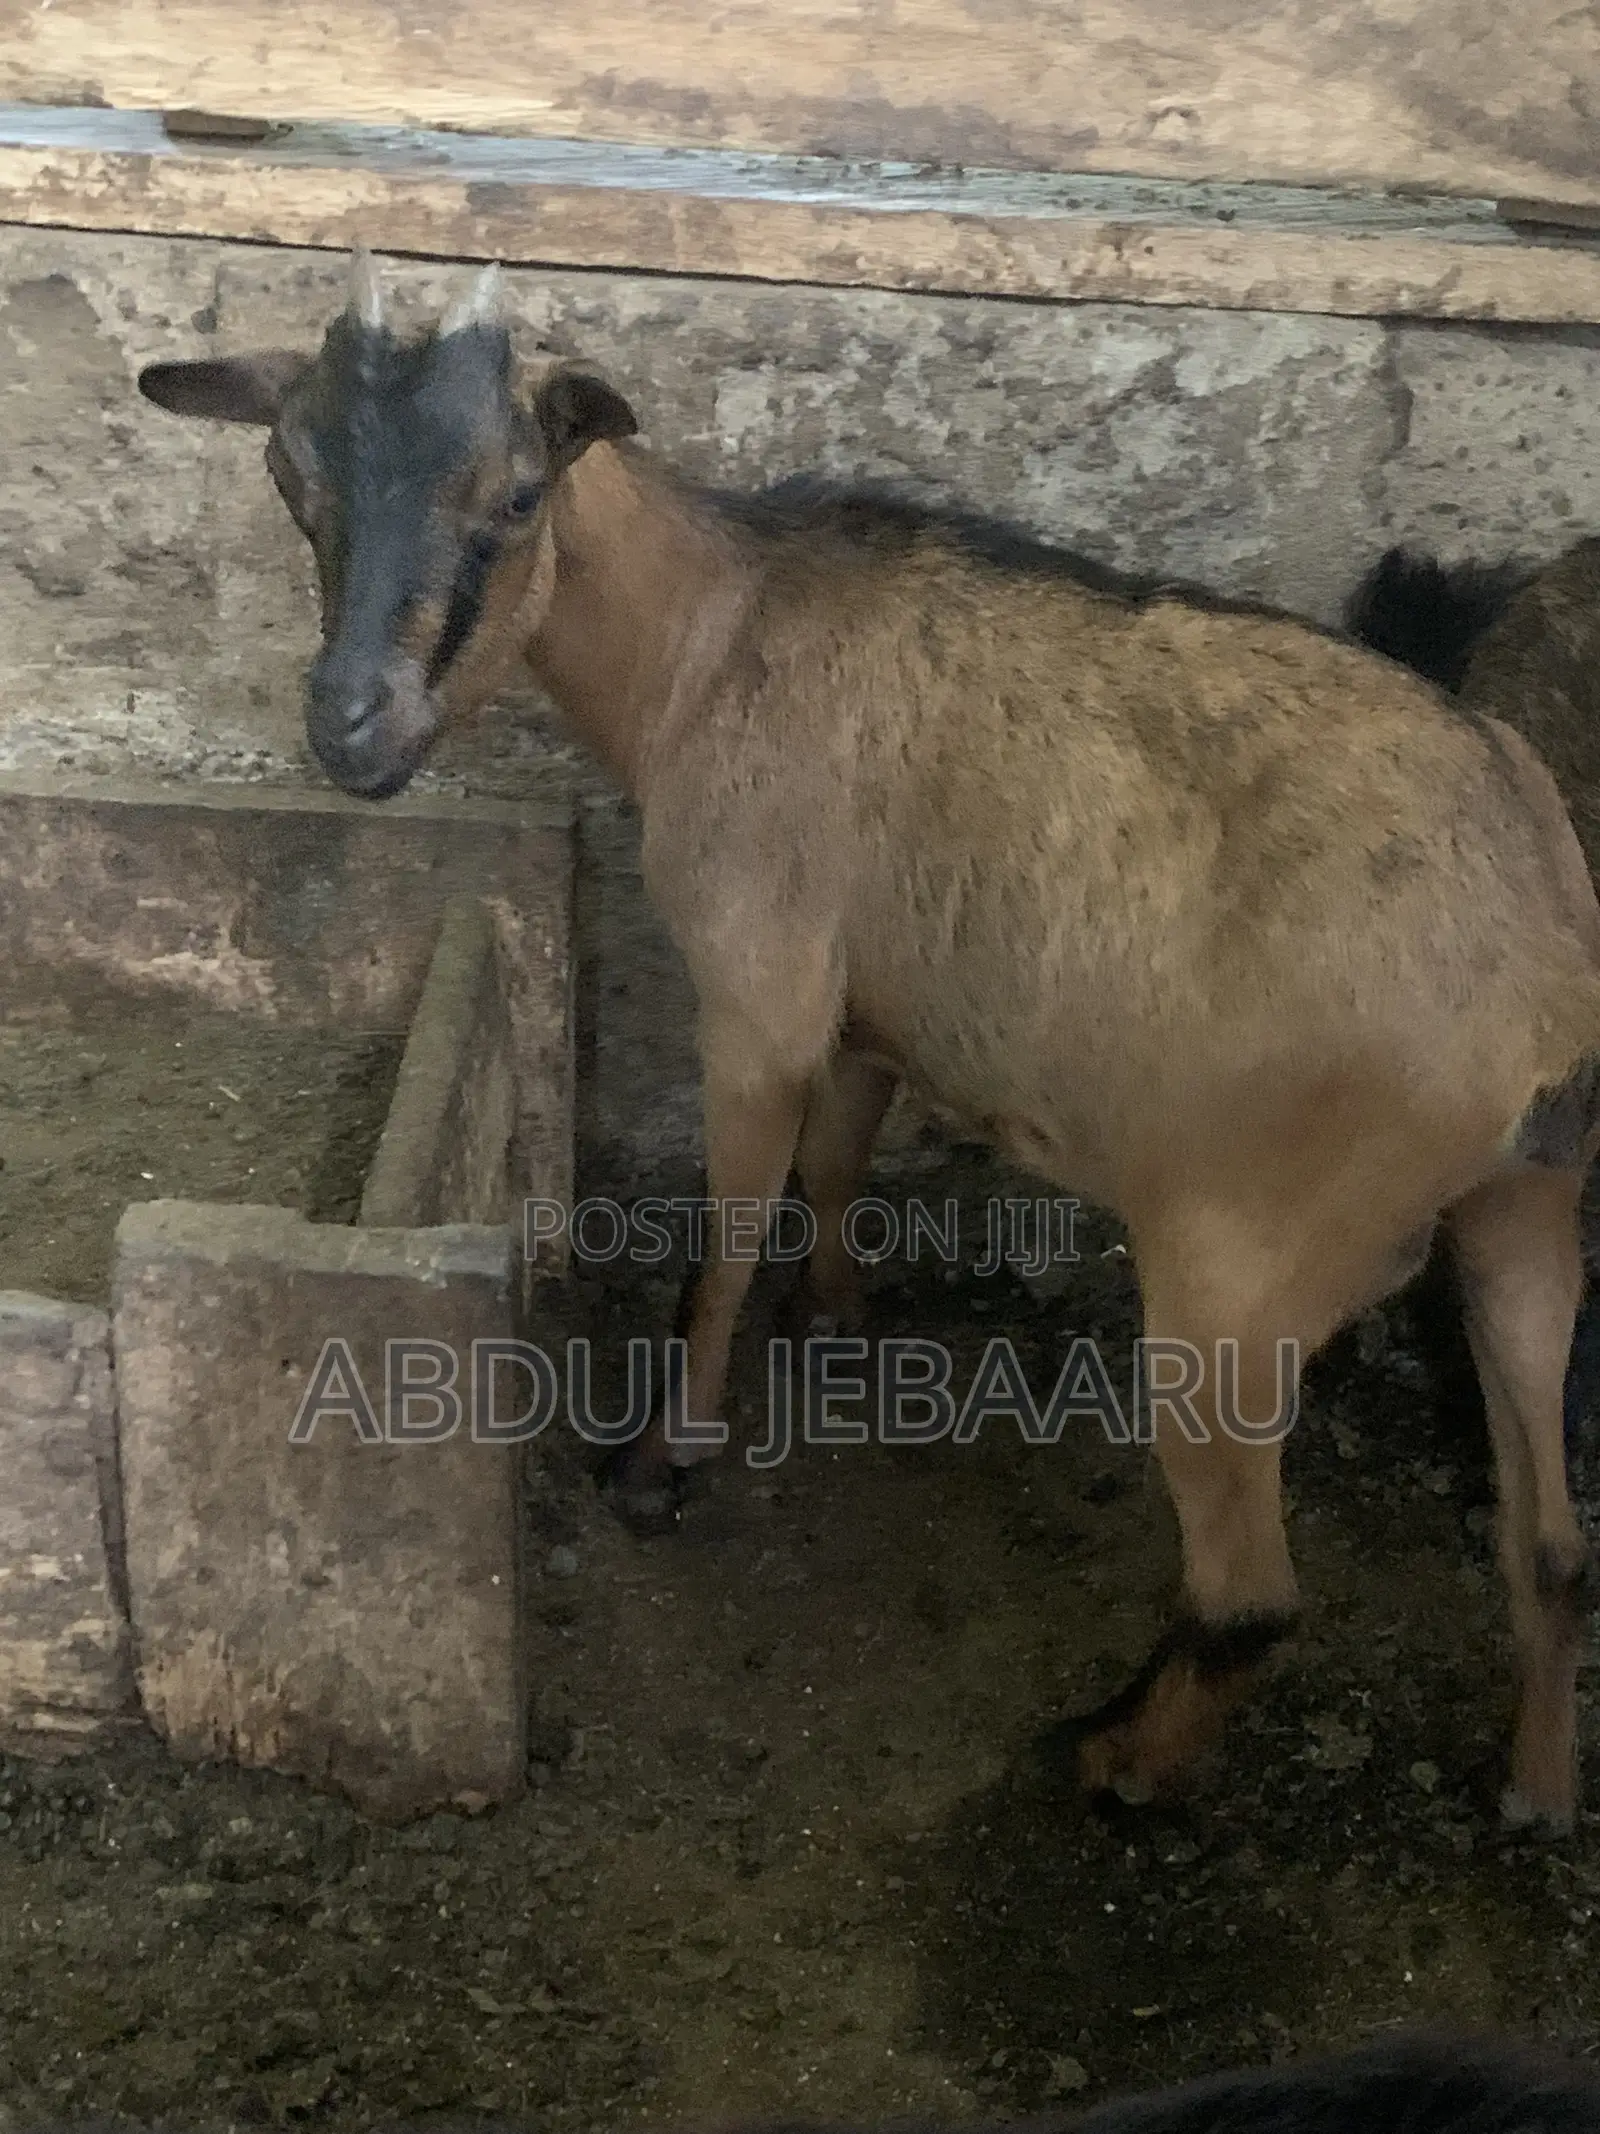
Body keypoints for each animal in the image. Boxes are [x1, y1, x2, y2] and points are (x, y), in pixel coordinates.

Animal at [138, 250, 1600, 1828]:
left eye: (519, 494)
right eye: (291, 477)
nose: (354, 729)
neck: (709, 641)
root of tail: (1544, 974)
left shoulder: (757, 989)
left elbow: (725, 1233)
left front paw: (659, 1461)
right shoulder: (864, 1011)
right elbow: (835, 1160)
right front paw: (835, 1323)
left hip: (1241, 1263)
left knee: (1250, 1596)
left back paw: (1114, 1759)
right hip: (1523, 1216)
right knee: (1553, 1543)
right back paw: (1533, 1788)